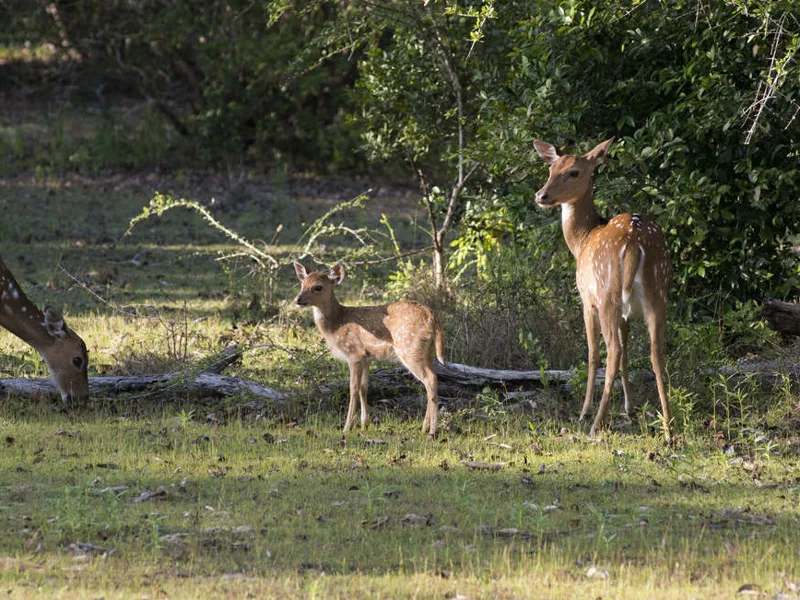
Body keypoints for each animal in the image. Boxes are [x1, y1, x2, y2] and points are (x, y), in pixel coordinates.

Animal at [293, 261, 445, 436]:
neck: (337, 325)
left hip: (409, 349)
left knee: (431, 379)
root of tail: (430, 314)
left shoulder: (354, 353)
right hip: (426, 351)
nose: (297, 299)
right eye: (302, 284)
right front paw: (365, 423)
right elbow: (364, 388)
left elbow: (353, 388)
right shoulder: (366, 356)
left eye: (318, 287)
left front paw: (347, 427)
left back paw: (432, 431)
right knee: (428, 381)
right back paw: (424, 427)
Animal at [533, 138, 673, 442]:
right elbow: (628, 353)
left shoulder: (587, 300)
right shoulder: (626, 313)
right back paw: (669, 427)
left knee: (612, 350)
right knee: (656, 352)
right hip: (658, 292)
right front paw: (630, 408)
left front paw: (585, 411)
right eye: (551, 168)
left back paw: (595, 422)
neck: (581, 240)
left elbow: (592, 354)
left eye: (573, 172)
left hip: (608, 294)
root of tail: (634, 240)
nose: (541, 195)